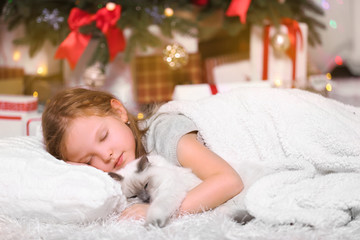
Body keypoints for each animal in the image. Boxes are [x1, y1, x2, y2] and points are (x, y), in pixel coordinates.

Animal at [109, 155, 253, 228]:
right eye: (133, 196)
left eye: (146, 185)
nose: (146, 199)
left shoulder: (169, 190)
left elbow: (157, 208)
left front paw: (152, 224)